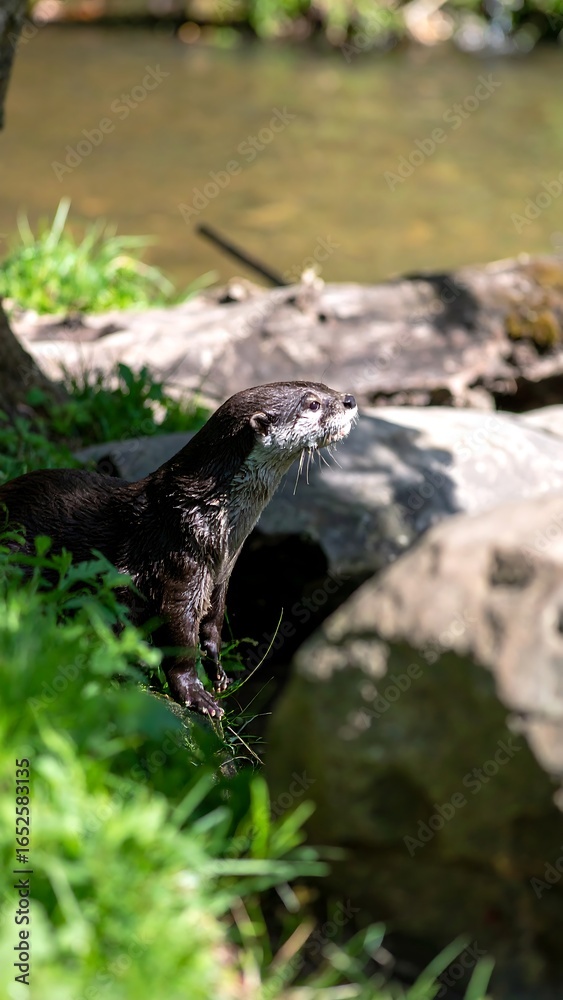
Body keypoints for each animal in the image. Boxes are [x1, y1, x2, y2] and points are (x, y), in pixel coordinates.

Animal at [0, 381, 357, 717]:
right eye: (313, 403)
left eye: (325, 386)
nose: (350, 400)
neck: (203, 512)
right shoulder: (179, 561)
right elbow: (180, 634)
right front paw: (197, 694)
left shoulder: (220, 577)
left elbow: (213, 624)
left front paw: (219, 672)